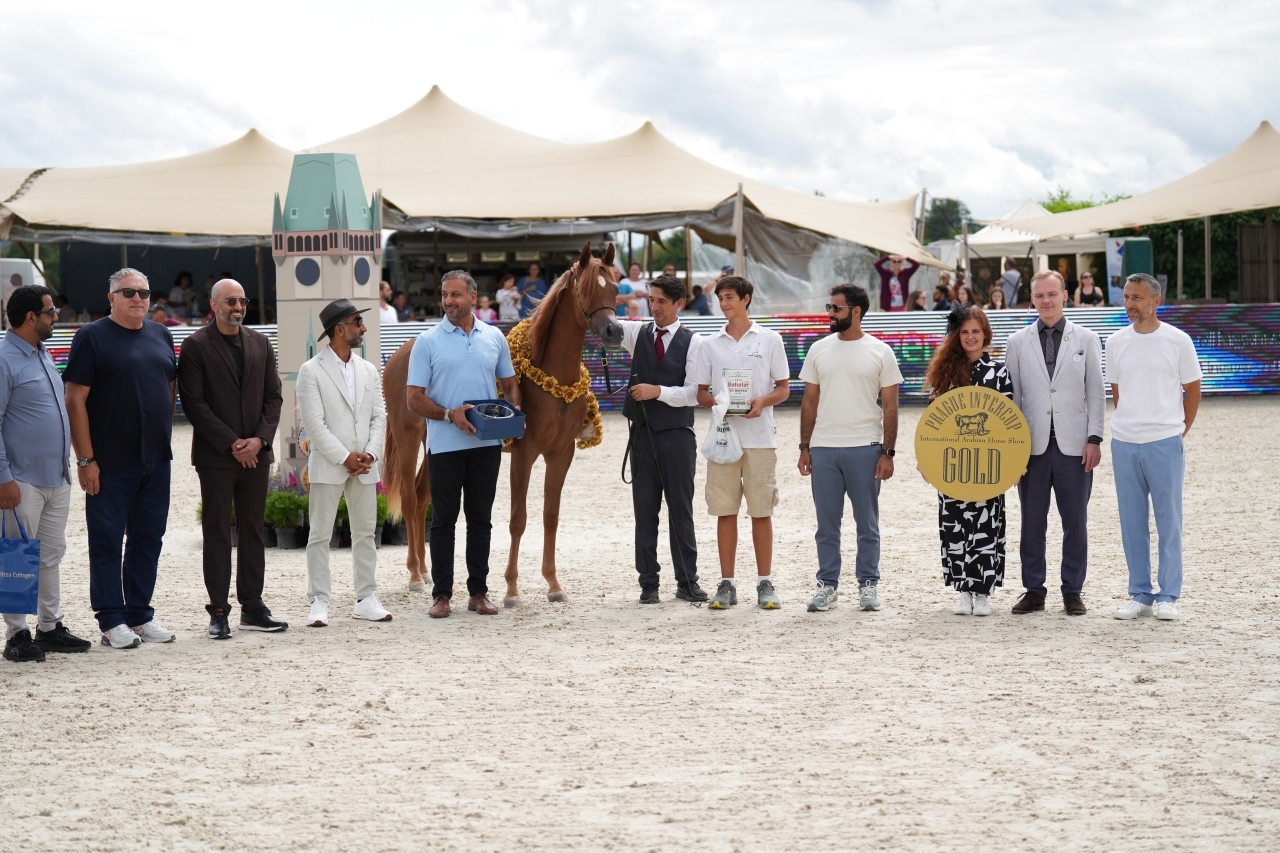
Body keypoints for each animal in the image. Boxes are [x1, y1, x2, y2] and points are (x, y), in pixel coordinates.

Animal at [376, 242, 622, 594]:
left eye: (615, 288)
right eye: (586, 289)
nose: (614, 331)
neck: (553, 377)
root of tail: (400, 353)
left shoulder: (562, 454)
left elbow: (551, 515)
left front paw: (553, 584)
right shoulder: (524, 453)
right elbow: (518, 519)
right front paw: (512, 589)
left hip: (433, 445)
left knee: (423, 497)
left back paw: (424, 569)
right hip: (408, 438)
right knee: (410, 499)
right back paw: (414, 576)